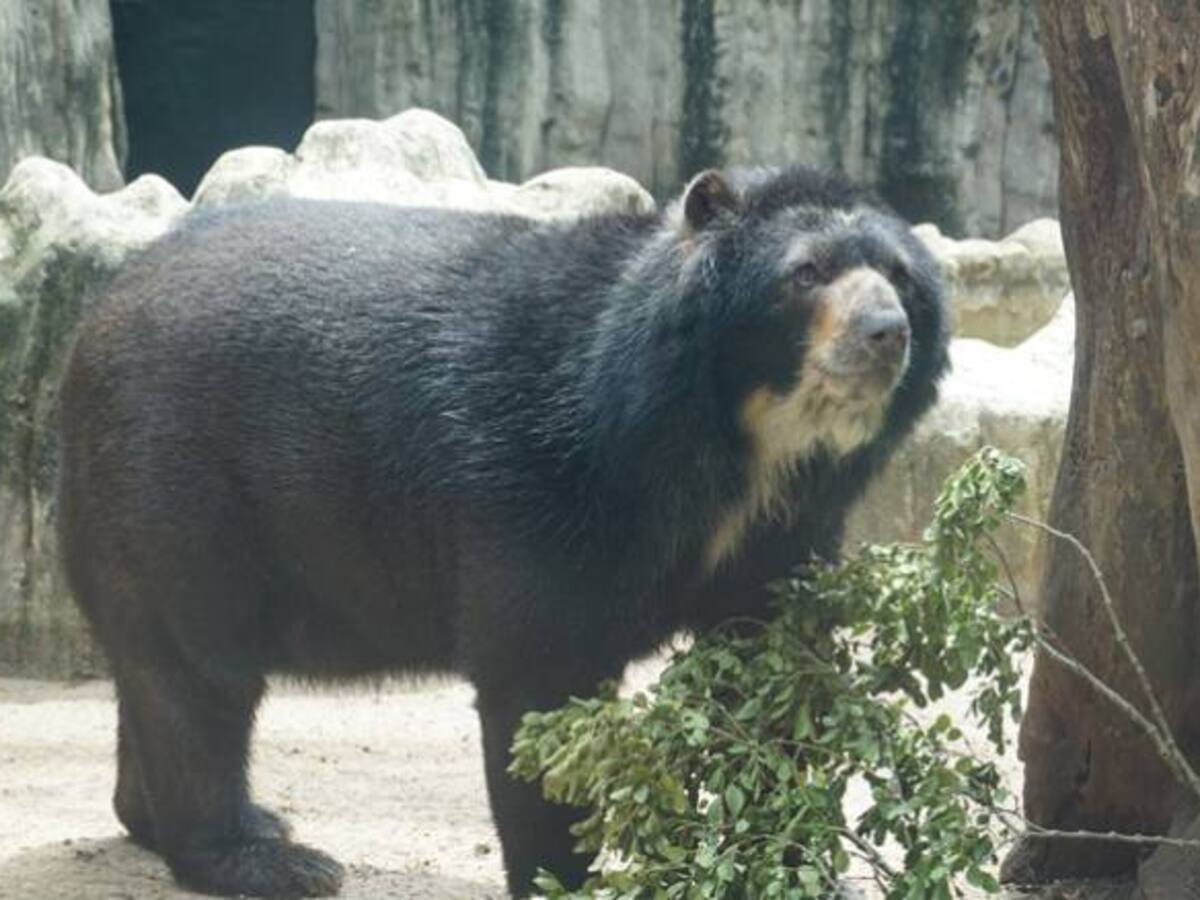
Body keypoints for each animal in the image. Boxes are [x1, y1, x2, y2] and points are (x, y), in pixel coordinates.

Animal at [56, 165, 948, 898]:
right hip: (178, 486)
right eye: (806, 273)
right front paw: (564, 875)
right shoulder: (542, 481)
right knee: (199, 674)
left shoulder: (784, 531)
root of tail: (91, 322)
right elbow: (539, 678)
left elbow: (772, 672)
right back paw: (269, 859)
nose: (885, 332)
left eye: (901, 277)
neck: (736, 448)